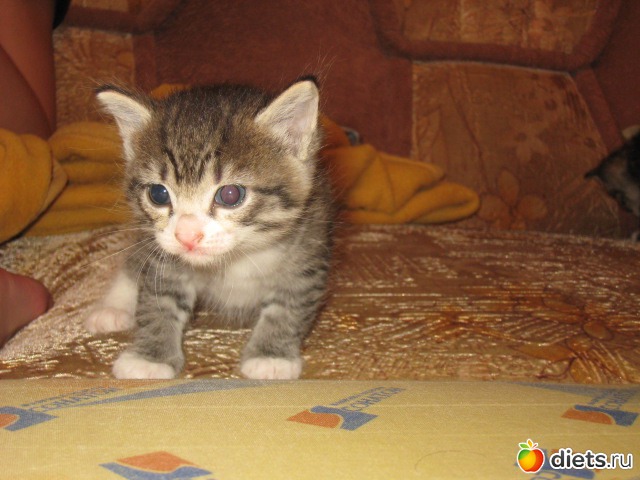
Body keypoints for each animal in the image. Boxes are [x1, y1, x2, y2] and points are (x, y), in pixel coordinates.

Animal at [85, 78, 334, 380]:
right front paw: (150, 357)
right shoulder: (164, 256)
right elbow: (159, 298)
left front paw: (271, 355)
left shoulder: (308, 248)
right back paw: (112, 307)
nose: (187, 235)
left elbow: (288, 304)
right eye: (158, 194)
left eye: (230, 195)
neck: (237, 257)